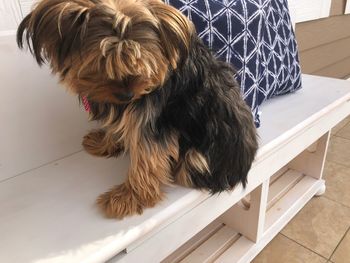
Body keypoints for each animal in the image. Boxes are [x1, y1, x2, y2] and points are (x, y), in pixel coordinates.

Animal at [17, 0, 258, 220]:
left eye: (142, 65)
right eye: (101, 64)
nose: (127, 95)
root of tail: (242, 170)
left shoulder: (152, 119)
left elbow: (147, 158)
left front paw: (127, 198)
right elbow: (118, 126)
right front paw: (104, 143)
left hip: (198, 157)